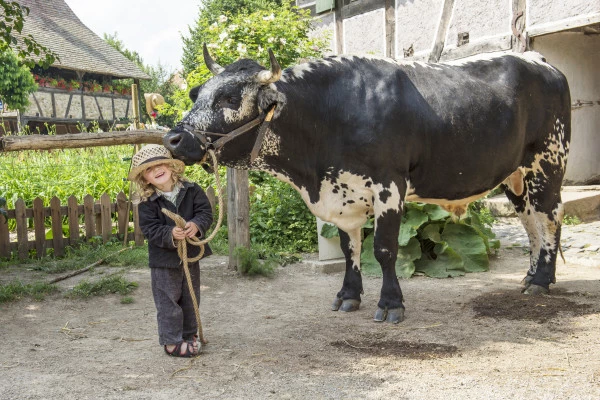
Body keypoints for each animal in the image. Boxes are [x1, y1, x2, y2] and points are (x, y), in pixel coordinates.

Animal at [164, 45, 572, 324]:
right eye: (196, 93)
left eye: (231, 97)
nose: (173, 139)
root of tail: (539, 59)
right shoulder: (343, 194)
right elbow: (350, 249)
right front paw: (348, 295)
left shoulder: (389, 184)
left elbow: (385, 249)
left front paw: (391, 304)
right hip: (515, 178)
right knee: (532, 225)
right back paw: (530, 276)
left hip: (548, 162)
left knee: (551, 219)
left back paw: (542, 280)